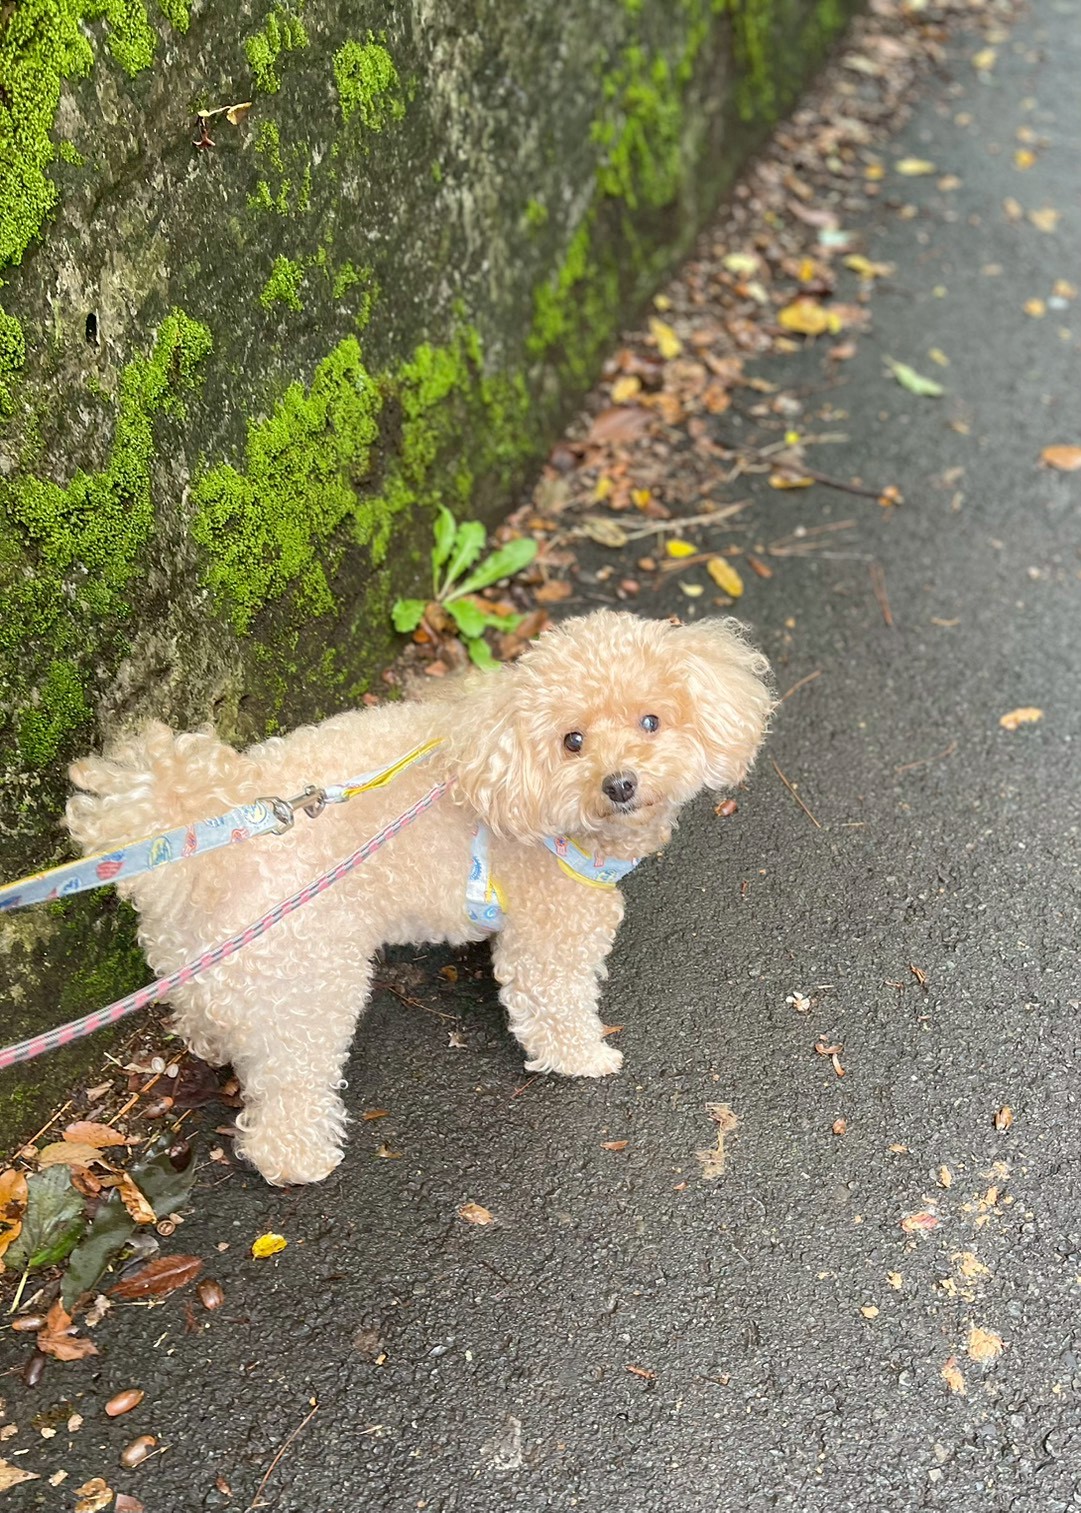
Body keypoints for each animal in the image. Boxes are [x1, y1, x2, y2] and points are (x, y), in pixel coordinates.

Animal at [66, 611, 772, 1185]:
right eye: (572, 741)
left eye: (651, 721)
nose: (620, 784)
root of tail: (204, 835)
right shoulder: (549, 936)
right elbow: (555, 1007)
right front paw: (586, 1058)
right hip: (308, 981)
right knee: (288, 1089)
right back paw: (299, 1161)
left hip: (205, 958)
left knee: (200, 1010)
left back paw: (210, 1043)